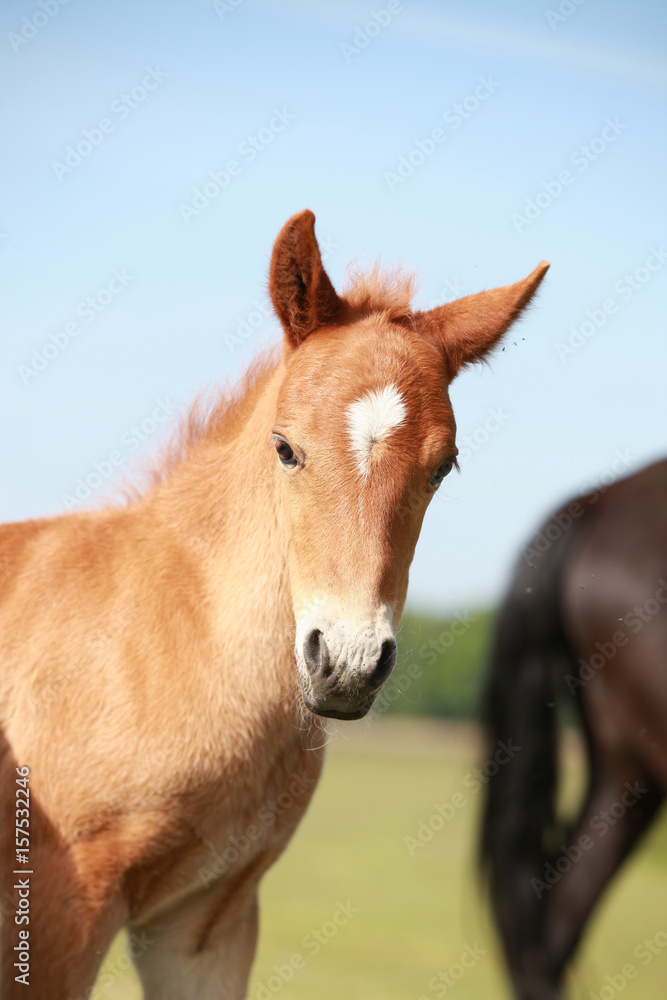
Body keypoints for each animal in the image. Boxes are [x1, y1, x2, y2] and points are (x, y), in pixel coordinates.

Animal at [0, 207, 548, 996]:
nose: (347, 663)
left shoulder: (207, 922)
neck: (174, 640)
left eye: (443, 466)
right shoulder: (55, 915)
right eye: (285, 446)